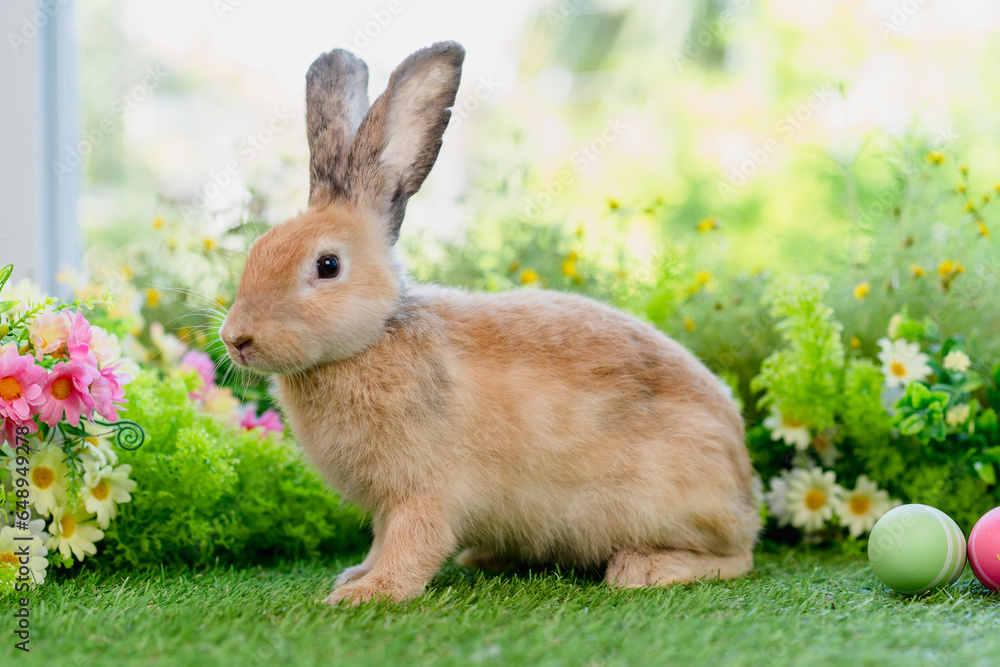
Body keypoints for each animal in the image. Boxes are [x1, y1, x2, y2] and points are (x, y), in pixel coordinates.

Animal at [219, 41, 761, 606]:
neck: (374, 338)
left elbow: (412, 543)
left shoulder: (425, 493)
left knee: (736, 559)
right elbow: (381, 540)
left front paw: (367, 594)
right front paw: (355, 576)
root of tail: (743, 483)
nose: (236, 339)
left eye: (328, 266)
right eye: (256, 251)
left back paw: (643, 569)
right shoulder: (390, 505)